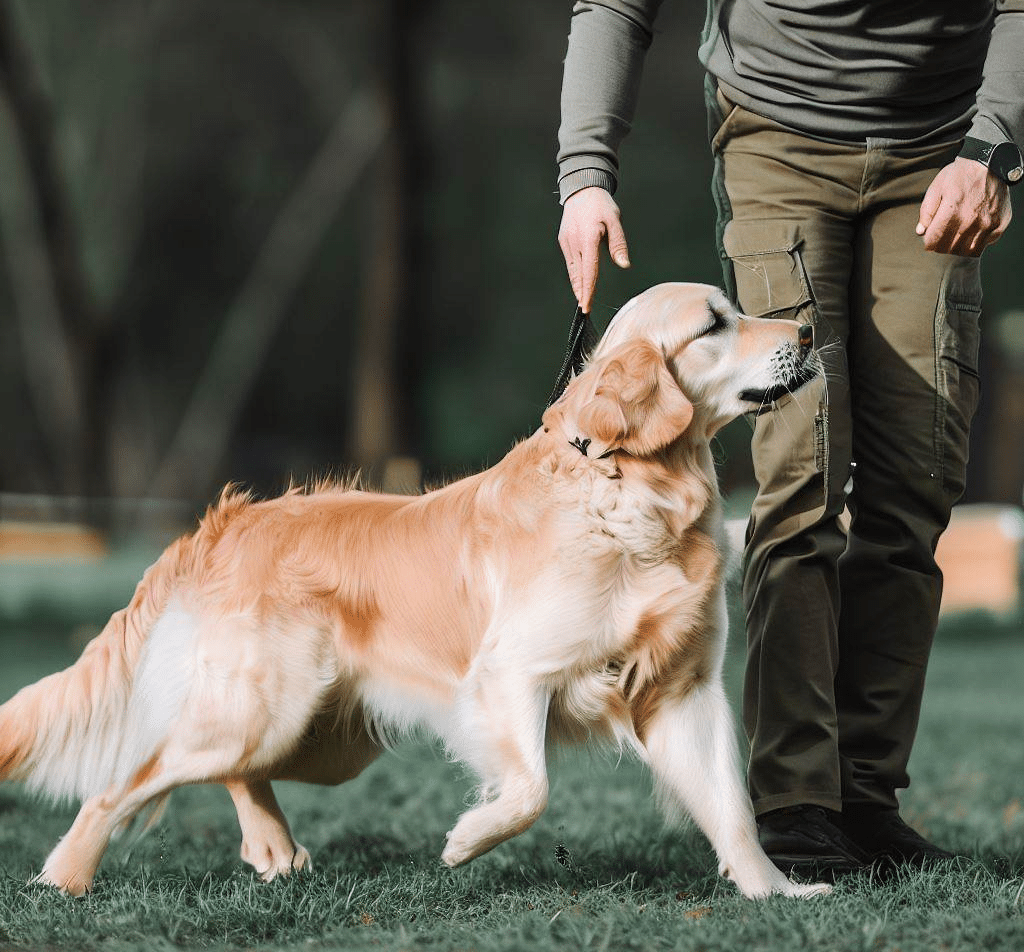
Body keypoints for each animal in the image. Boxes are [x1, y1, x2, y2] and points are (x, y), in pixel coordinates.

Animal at [0, 282, 827, 896]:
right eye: (714, 323)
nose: (810, 330)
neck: (628, 490)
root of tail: (230, 520)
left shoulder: (686, 693)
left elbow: (731, 806)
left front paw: (776, 893)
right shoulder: (508, 675)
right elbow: (530, 789)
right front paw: (467, 841)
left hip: (322, 738)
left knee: (232, 773)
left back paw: (272, 847)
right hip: (259, 712)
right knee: (123, 784)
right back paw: (65, 878)